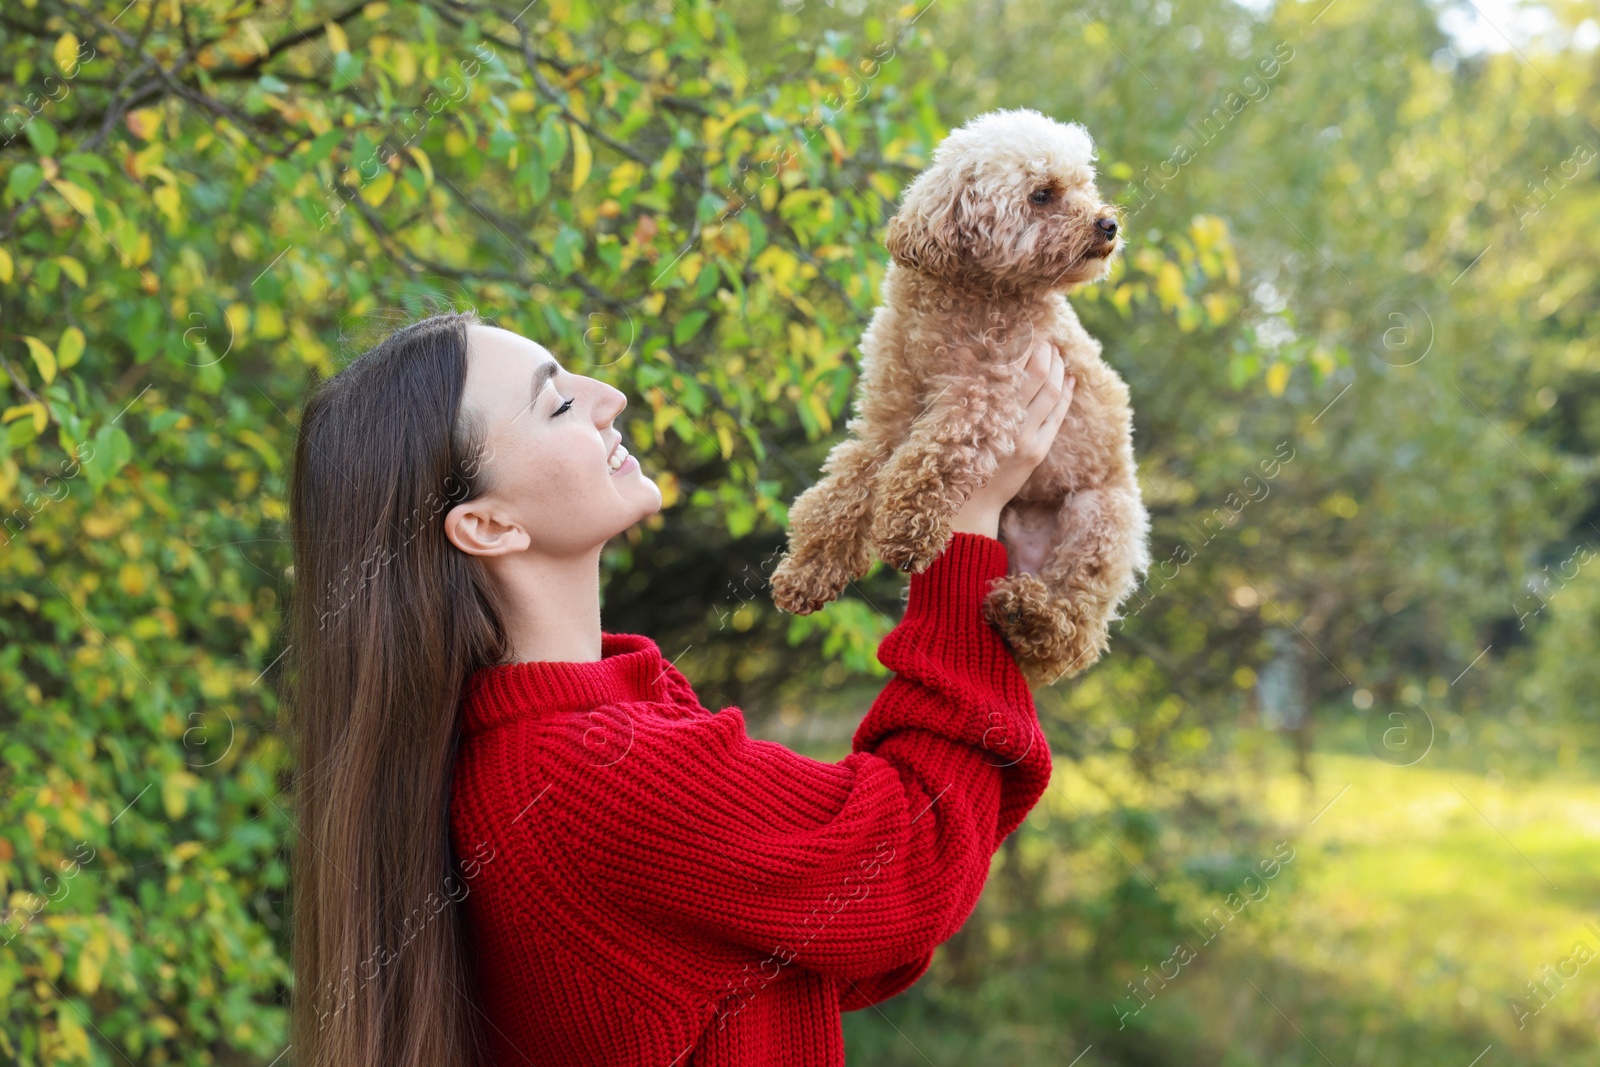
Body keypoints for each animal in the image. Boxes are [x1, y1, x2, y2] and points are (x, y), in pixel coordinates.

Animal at [771, 108, 1152, 687]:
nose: (1108, 224)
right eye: (1043, 194)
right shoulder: (888, 417)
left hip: (1099, 518)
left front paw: (904, 531)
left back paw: (1033, 615)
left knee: (1075, 629)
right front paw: (808, 570)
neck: (968, 293)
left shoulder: (985, 397)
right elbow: (842, 493)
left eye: (1085, 186)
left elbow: (932, 460)